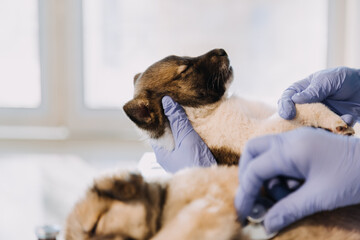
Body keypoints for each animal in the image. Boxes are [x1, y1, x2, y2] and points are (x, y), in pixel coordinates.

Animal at [122, 48, 352, 165]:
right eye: (184, 70)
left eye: (186, 57)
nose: (222, 50)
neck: (207, 112)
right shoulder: (257, 135)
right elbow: (307, 107)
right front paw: (336, 122)